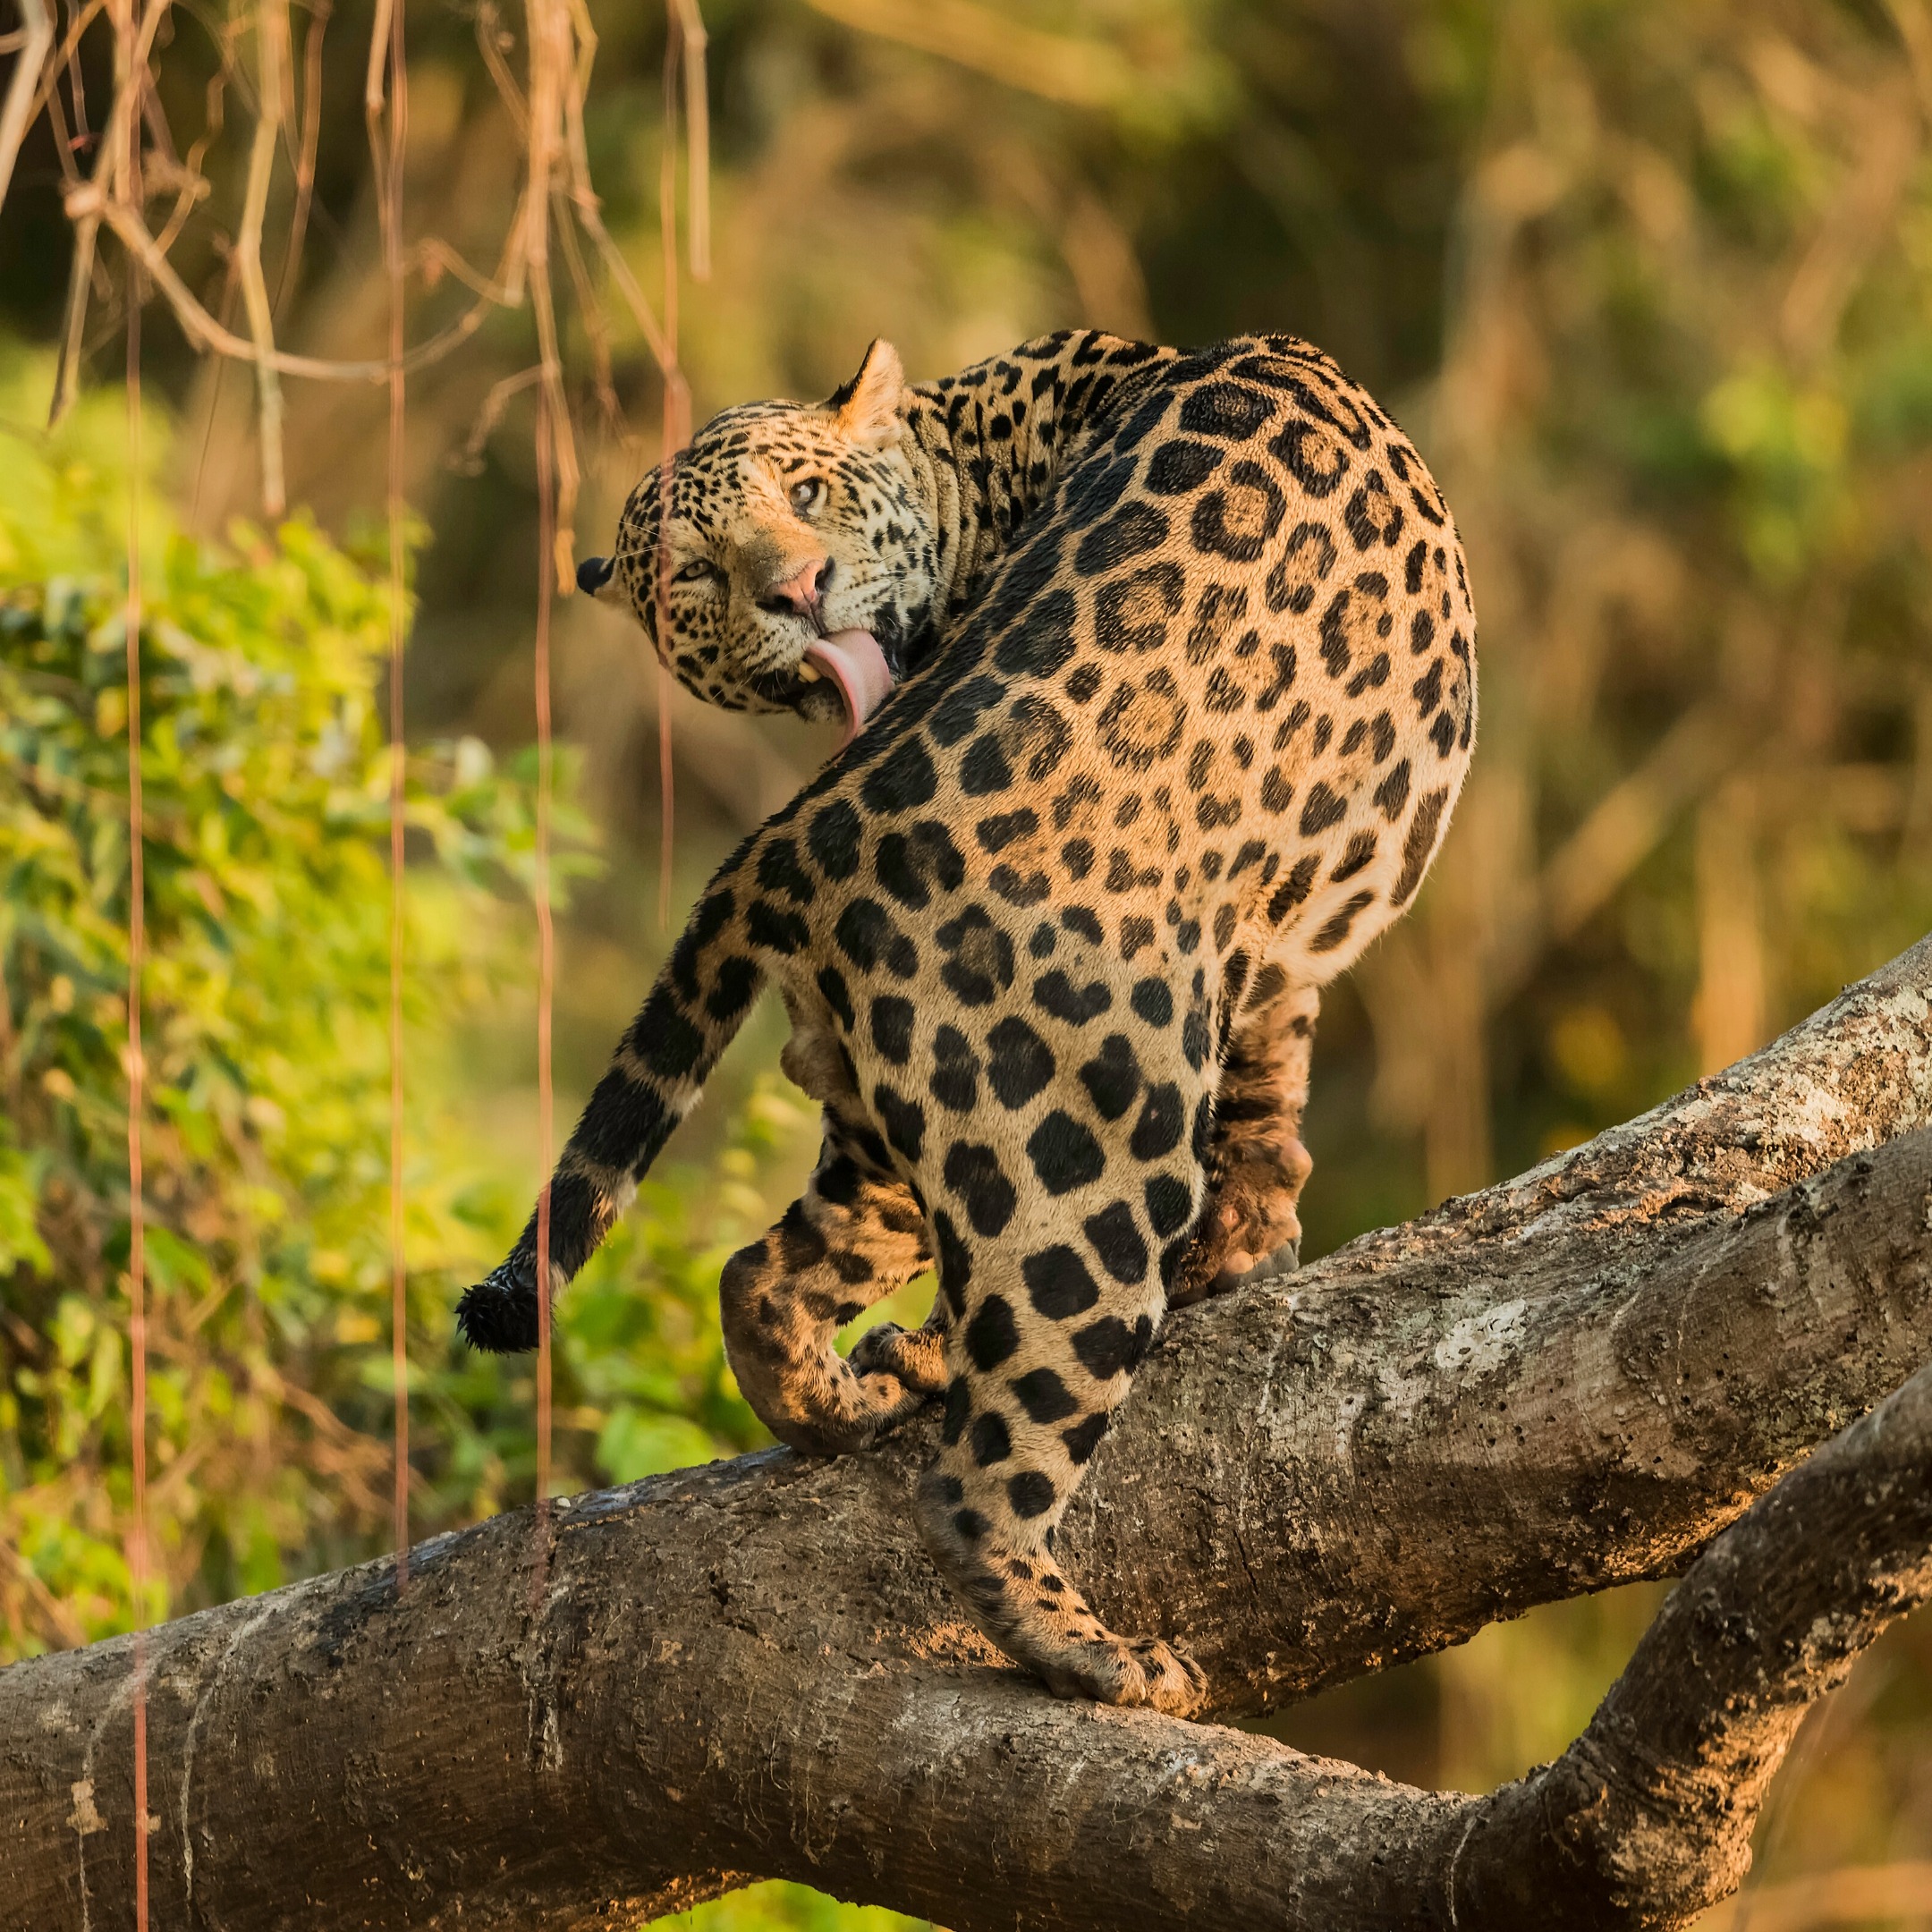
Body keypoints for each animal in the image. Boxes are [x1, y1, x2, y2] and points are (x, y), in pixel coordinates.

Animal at [457, 329, 1476, 1717]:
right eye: (698, 575)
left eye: (807, 494)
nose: (801, 592)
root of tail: (790, 835)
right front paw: (1243, 1243)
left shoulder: (1264, 943)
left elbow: (1274, 1073)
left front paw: (1253, 1235)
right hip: (1092, 1153)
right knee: (979, 1471)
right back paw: (1094, 1648)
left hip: (920, 1109)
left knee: (760, 1277)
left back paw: (845, 1399)